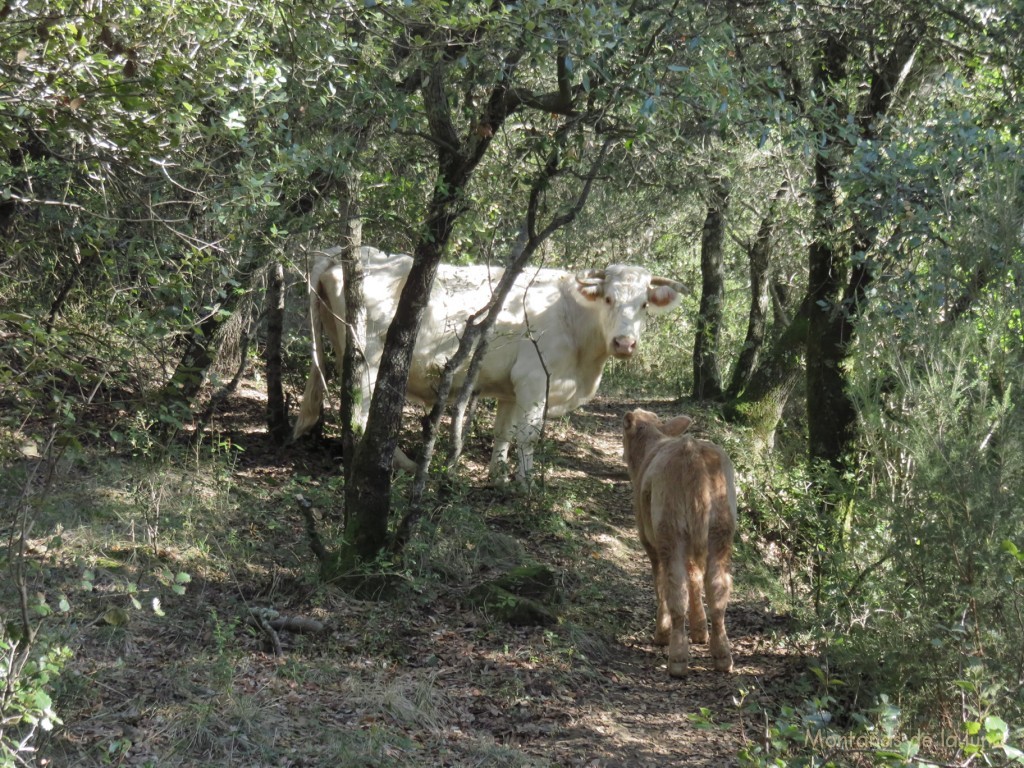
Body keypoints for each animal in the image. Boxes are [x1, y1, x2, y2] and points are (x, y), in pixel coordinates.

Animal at [292, 246, 684, 483]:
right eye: (608, 299)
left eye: (644, 305)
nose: (624, 343)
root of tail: (349, 252)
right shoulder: (535, 380)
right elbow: (528, 435)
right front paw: (525, 485)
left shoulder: (511, 389)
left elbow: (503, 433)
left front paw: (497, 476)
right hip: (369, 359)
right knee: (360, 412)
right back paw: (399, 464)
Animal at [614, 411, 737, 675]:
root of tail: (692, 452)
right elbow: (694, 579)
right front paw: (700, 631)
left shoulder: (649, 542)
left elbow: (660, 583)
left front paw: (661, 632)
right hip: (720, 529)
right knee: (717, 587)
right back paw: (722, 655)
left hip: (669, 529)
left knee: (674, 587)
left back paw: (677, 658)